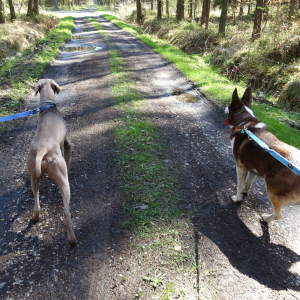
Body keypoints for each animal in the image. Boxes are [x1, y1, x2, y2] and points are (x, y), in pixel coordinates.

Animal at [26, 79, 77, 246]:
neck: (47, 108)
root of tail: (42, 149)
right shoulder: (67, 143)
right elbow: (68, 155)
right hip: (63, 181)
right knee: (66, 212)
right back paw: (71, 239)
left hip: (33, 178)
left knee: (36, 204)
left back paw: (36, 217)